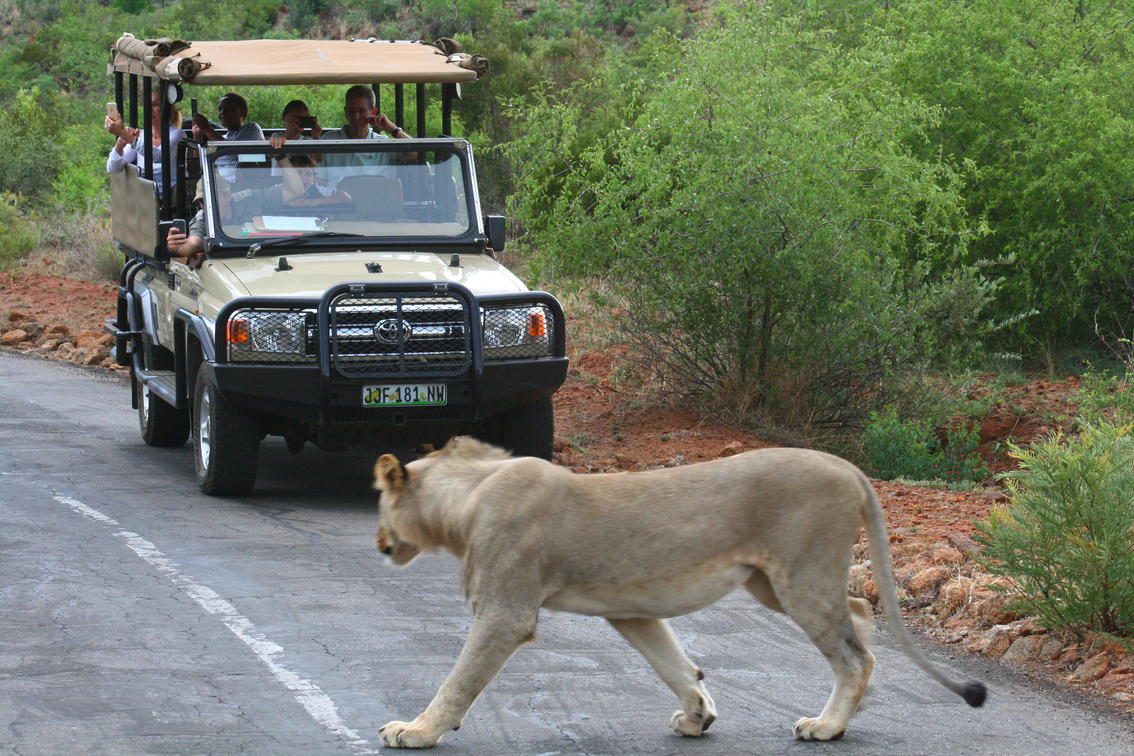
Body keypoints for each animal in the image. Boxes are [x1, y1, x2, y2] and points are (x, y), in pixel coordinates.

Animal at [372, 436, 985, 748]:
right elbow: (673, 663)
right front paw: (698, 717)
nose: (378, 541)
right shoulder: (630, 610)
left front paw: (416, 730)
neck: (465, 500)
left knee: (853, 652)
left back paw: (827, 726)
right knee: (858, 613)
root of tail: (848, 467)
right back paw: (853, 708)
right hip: (771, 582)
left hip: (799, 575)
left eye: (380, 499)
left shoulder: (505, 611)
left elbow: (459, 680)